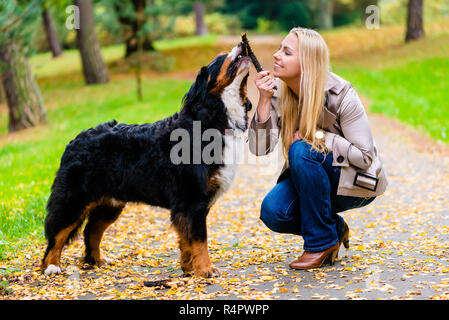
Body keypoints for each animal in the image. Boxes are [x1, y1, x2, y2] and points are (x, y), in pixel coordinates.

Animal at [41, 42, 252, 278]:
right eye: (221, 57)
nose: (241, 44)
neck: (210, 121)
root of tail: (74, 140)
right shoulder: (192, 199)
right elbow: (199, 239)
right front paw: (205, 269)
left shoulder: (189, 204)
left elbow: (186, 239)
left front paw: (188, 268)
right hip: (75, 199)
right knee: (56, 234)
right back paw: (51, 267)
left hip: (110, 204)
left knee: (91, 231)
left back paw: (96, 261)